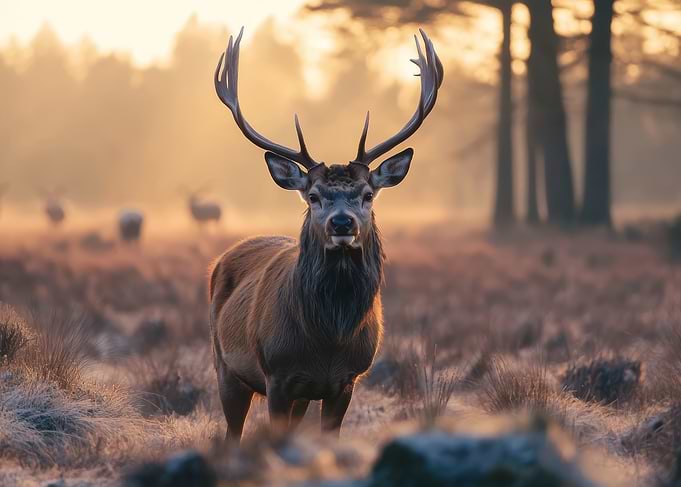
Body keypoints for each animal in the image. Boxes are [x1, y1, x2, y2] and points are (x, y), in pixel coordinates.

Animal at [209, 28, 442, 442]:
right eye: (314, 196)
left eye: (367, 194)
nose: (342, 223)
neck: (327, 341)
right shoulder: (277, 376)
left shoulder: (345, 380)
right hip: (225, 367)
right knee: (232, 432)